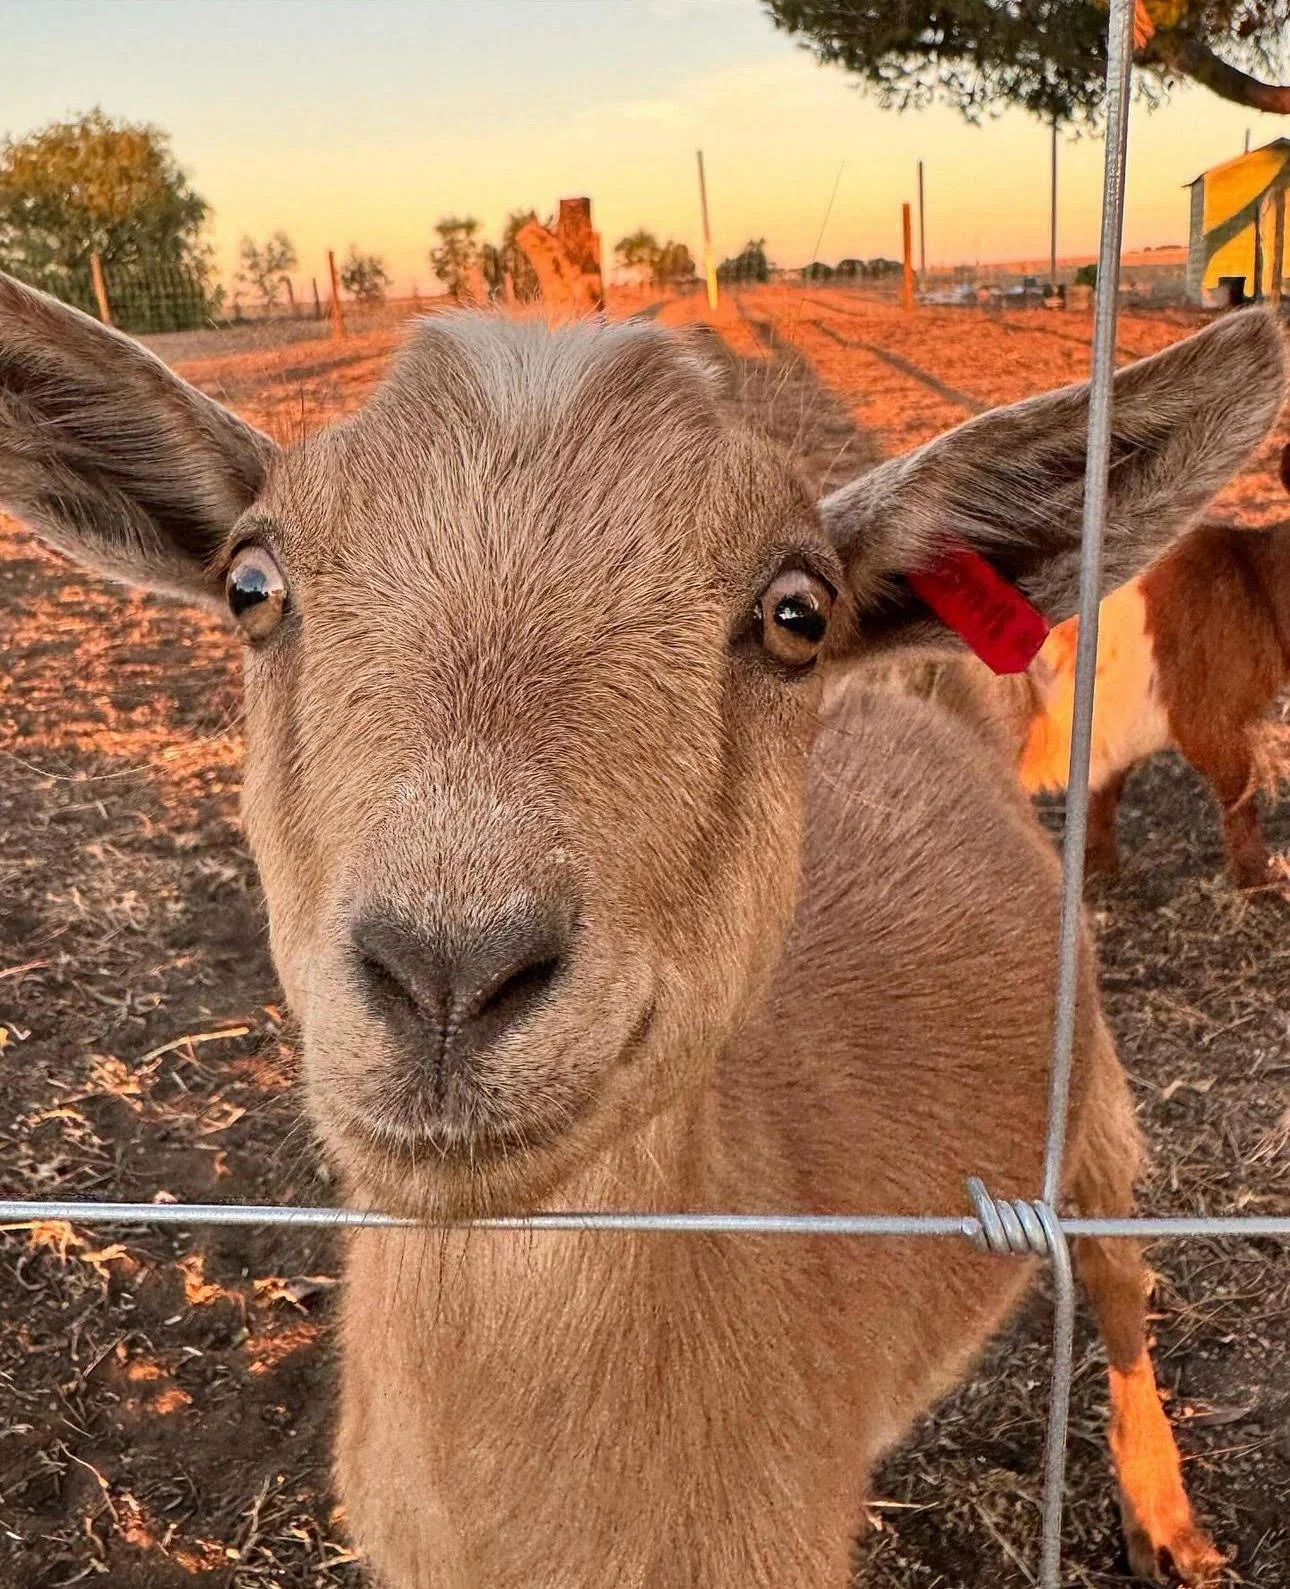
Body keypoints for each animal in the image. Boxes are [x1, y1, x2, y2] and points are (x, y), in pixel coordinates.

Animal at [0, 271, 1282, 1588]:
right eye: (251, 585)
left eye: (797, 611)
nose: (448, 973)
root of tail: (936, 711)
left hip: (1097, 1105)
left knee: (1121, 1282)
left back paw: (1168, 1519)